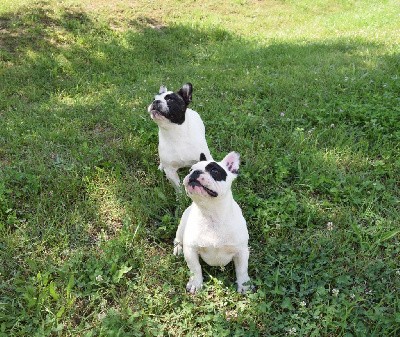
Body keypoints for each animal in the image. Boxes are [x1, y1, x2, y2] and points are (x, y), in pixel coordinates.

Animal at [173, 151, 250, 292]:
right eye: (191, 169)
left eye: (214, 170)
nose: (195, 172)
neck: (211, 213)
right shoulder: (191, 250)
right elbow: (195, 268)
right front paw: (195, 283)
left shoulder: (241, 251)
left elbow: (242, 270)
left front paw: (244, 285)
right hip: (182, 226)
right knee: (178, 238)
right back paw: (177, 249)